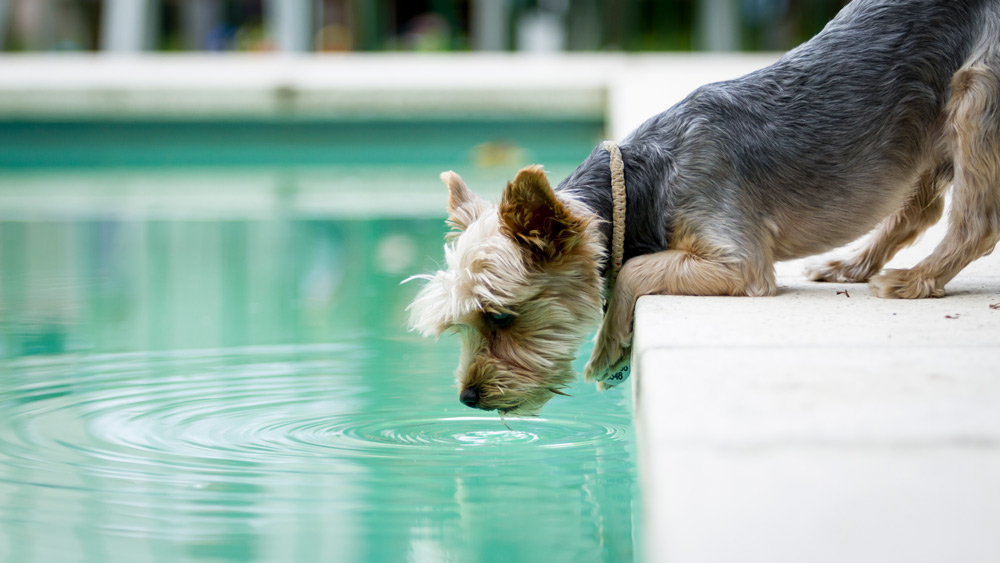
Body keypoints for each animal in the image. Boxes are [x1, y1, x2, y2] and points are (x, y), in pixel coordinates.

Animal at [406, 0, 1000, 414]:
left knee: (977, 218)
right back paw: (853, 265)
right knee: (920, 209)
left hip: (977, 87)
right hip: (925, 120)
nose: (467, 398)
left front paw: (607, 347)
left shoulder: (740, 262)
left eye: (500, 317)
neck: (641, 185)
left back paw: (917, 278)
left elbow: (634, 271)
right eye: (464, 324)